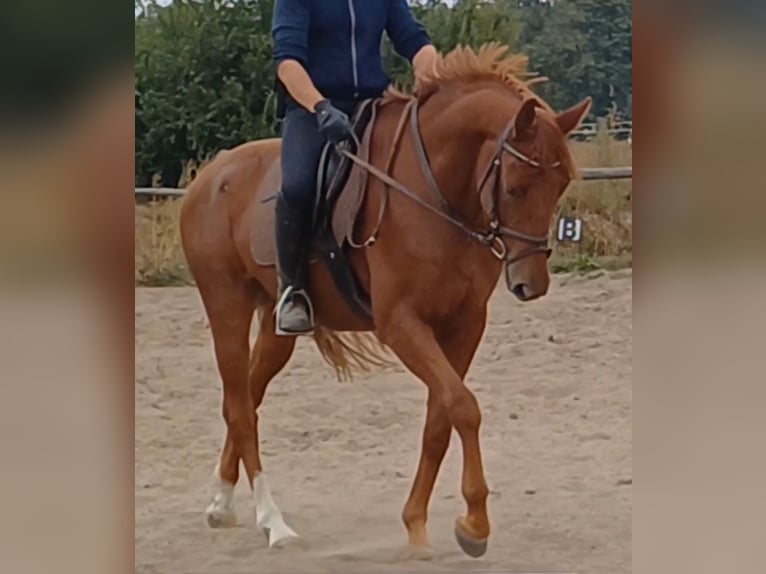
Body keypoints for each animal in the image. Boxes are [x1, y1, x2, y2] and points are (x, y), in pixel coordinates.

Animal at [179, 43, 591, 558]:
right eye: (515, 187)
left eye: (561, 186)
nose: (530, 284)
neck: (435, 192)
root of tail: (208, 177)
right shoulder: (400, 324)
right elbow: (463, 406)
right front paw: (475, 524)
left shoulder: (465, 323)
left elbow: (440, 418)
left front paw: (417, 524)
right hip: (226, 309)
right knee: (239, 408)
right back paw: (273, 522)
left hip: (277, 326)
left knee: (245, 400)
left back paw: (221, 502)